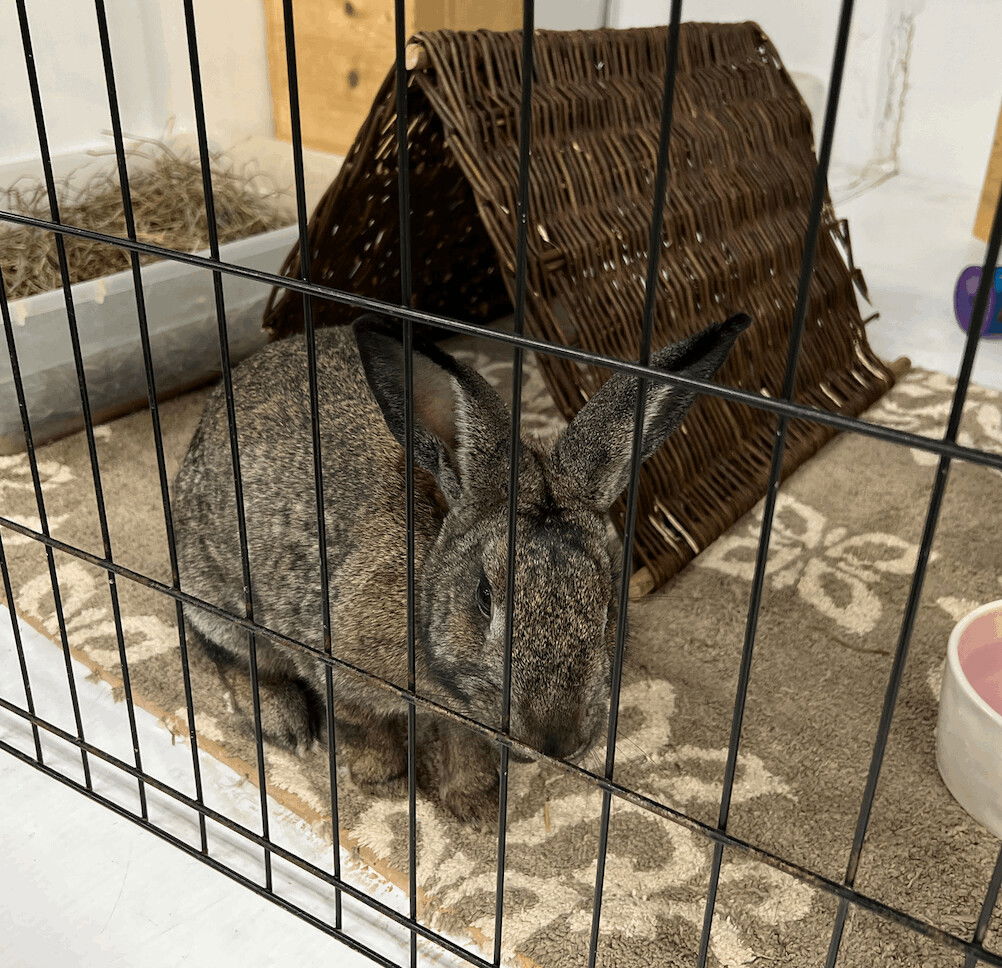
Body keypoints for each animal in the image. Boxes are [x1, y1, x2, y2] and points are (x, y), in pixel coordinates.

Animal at [174, 312, 753, 825]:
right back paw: (287, 726)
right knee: (233, 657)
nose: (555, 741)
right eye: (483, 596)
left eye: (610, 602)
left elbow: (466, 749)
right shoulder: (336, 664)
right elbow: (366, 727)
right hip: (217, 595)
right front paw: (380, 778)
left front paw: (476, 808)